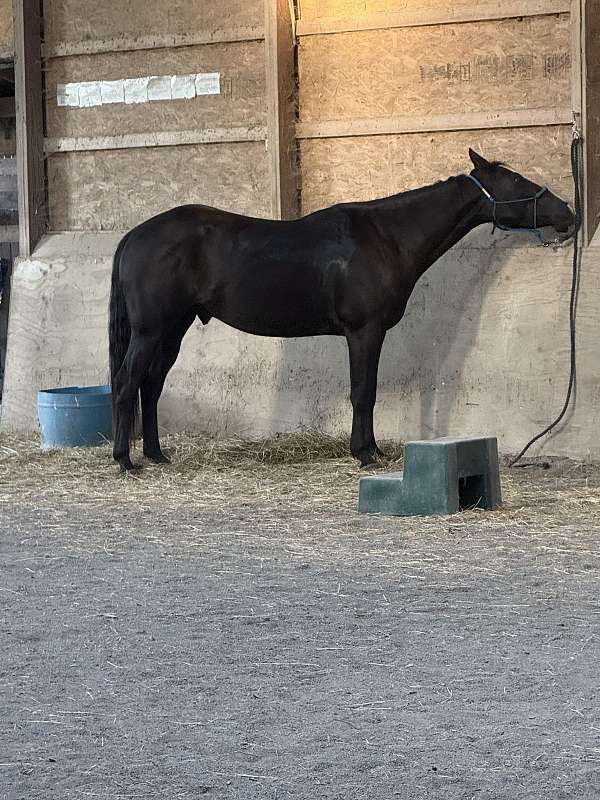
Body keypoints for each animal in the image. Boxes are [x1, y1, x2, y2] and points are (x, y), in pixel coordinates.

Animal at [109, 148, 575, 472]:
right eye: (515, 180)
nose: (568, 212)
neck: (385, 238)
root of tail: (134, 235)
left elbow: (366, 391)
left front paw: (371, 450)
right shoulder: (364, 331)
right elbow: (362, 391)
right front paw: (365, 454)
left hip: (173, 330)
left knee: (151, 386)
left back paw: (156, 454)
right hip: (151, 331)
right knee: (127, 382)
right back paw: (125, 460)